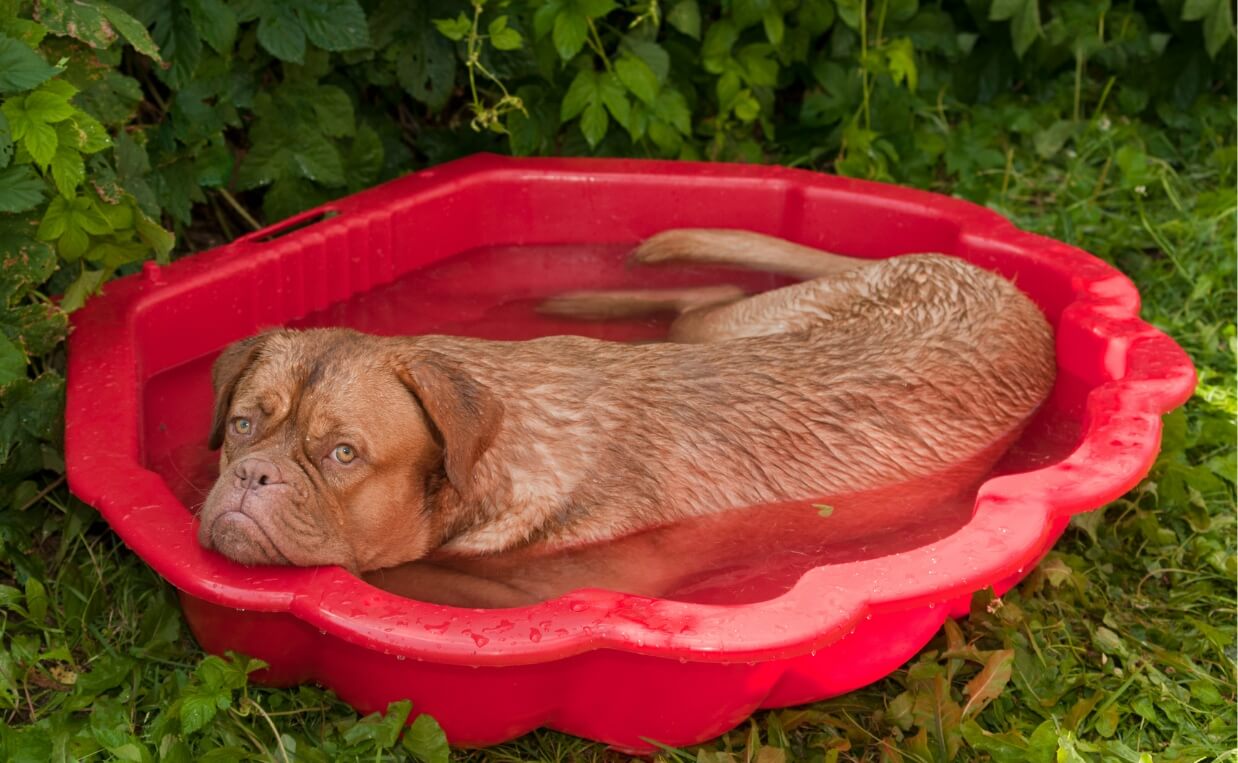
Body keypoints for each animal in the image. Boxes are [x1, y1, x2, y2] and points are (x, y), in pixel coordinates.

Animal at [195, 227, 1054, 589]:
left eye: (343, 453)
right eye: (243, 424)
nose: (254, 476)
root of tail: (991, 276)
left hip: (731, 326)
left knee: (706, 295)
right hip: (739, 324)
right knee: (709, 294)